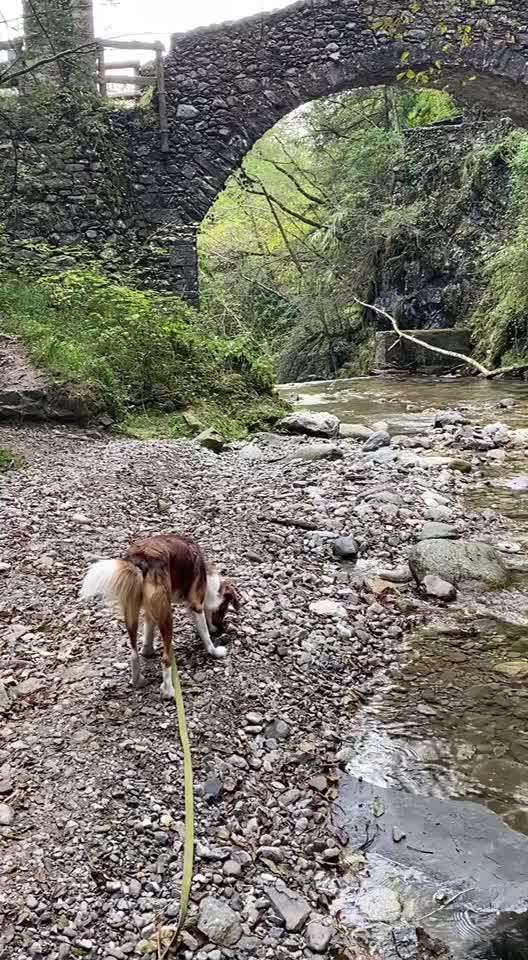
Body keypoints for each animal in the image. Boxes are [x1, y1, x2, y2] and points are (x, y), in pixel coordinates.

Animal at [80, 532, 239, 696]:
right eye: (225, 609)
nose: (221, 630)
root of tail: (141, 558)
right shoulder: (196, 604)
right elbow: (205, 634)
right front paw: (214, 651)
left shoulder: (150, 611)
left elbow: (148, 633)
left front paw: (148, 651)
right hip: (167, 614)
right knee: (166, 659)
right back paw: (168, 691)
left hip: (131, 610)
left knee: (133, 653)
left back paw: (137, 680)